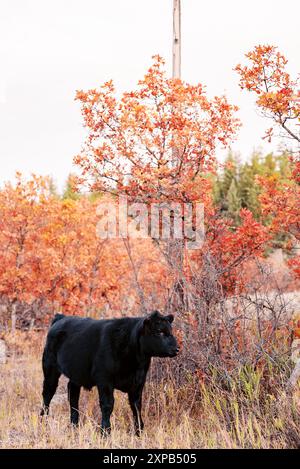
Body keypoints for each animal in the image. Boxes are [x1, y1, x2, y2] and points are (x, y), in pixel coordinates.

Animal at [41, 308, 179, 434]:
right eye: (159, 332)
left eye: (170, 331)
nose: (177, 348)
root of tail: (61, 318)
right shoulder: (104, 380)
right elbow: (108, 405)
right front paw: (105, 431)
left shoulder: (138, 382)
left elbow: (136, 406)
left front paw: (139, 431)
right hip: (50, 368)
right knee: (47, 394)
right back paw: (43, 422)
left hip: (76, 373)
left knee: (73, 395)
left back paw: (74, 425)